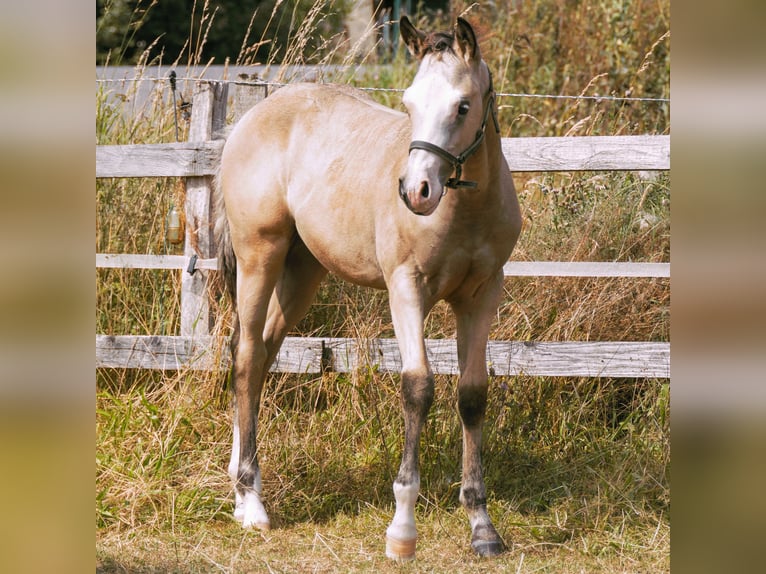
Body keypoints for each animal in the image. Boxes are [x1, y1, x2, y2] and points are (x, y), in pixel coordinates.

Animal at [216, 15, 524, 560]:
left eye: (463, 106)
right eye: (409, 103)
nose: (416, 191)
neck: (464, 211)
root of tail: (250, 120)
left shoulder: (482, 295)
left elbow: (472, 394)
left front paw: (482, 525)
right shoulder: (406, 289)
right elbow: (418, 387)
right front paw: (402, 530)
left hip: (303, 270)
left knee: (261, 352)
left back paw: (239, 488)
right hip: (260, 256)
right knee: (248, 355)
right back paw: (252, 504)